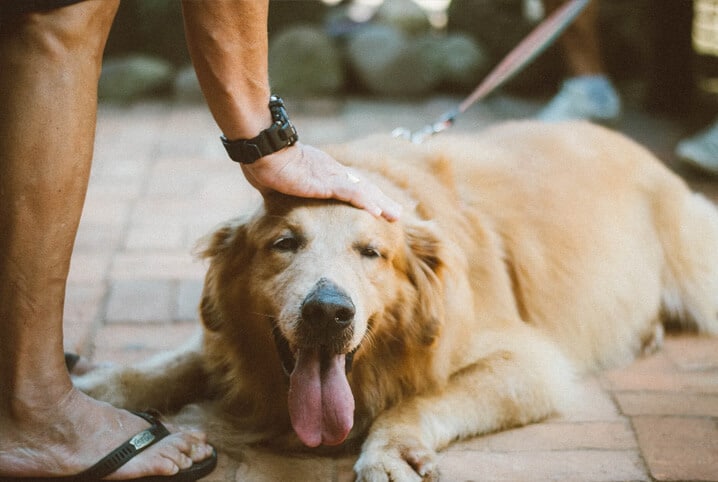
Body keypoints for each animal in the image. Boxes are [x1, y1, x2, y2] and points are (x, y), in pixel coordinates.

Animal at [73, 119, 718, 478]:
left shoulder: (531, 364)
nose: (328, 312)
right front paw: (99, 388)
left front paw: (391, 449)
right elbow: (172, 363)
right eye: (284, 243)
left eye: (372, 253)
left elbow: (422, 399)